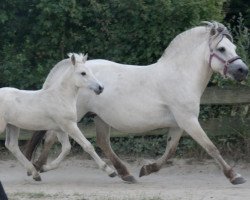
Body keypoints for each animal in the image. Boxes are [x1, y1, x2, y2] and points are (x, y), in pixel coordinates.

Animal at [0, 53, 115, 181]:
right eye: (83, 73)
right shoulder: (69, 125)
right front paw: (110, 171)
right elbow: (87, 145)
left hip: (12, 126)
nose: (100, 88)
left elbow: (66, 148)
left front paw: (44, 168)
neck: (59, 97)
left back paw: (35, 174)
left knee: (12, 146)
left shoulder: (60, 128)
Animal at [25, 21, 248, 184]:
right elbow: (211, 147)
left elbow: (170, 150)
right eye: (222, 48)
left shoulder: (179, 124)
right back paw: (38, 168)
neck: (180, 75)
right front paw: (234, 176)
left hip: (100, 117)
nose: (243, 70)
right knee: (51, 138)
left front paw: (147, 169)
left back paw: (125, 174)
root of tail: (70, 69)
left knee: (102, 142)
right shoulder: (188, 120)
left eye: (234, 47)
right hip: (73, 115)